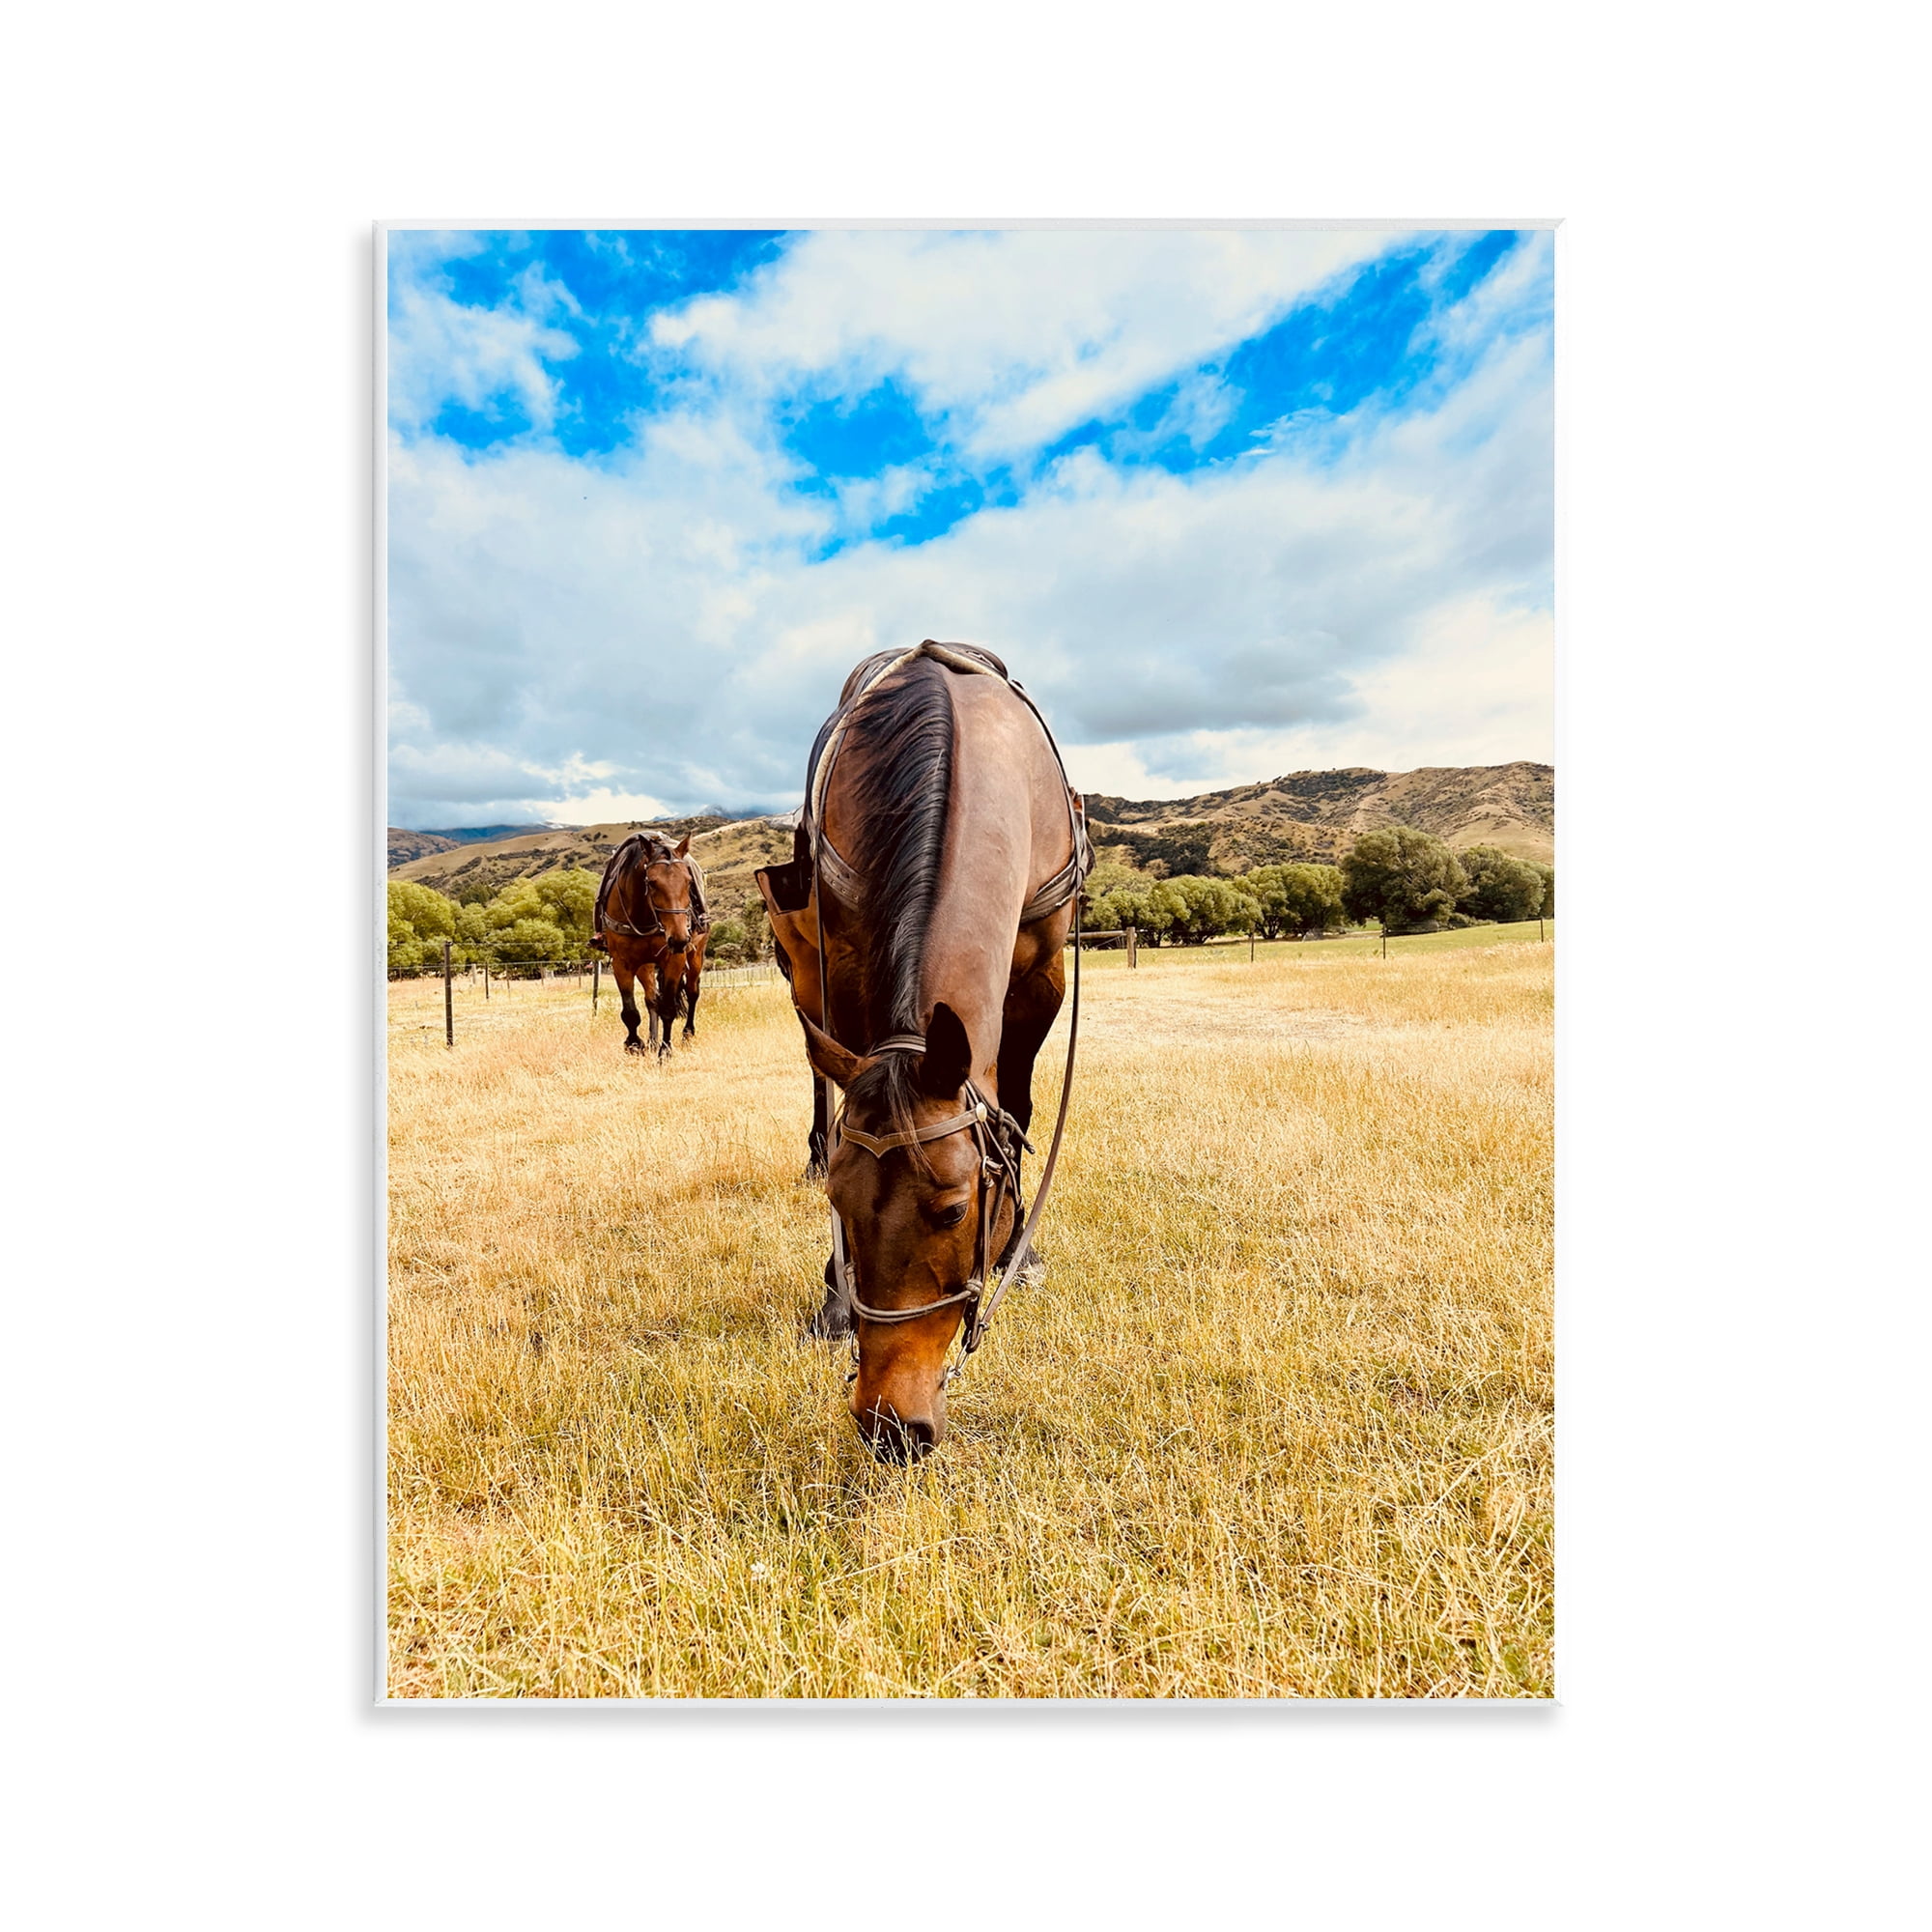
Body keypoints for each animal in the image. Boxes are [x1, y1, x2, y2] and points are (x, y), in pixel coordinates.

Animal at [593, 833, 708, 1058]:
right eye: (652, 883)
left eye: (689, 882)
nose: (679, 938)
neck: (644, 915)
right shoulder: (622, 963)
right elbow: (630, 1012)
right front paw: (635, 1044)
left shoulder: (675, 959)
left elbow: (668, 1008)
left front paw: (665, 1052)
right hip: (645, 965)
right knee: (652, 999)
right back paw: (652, 1040)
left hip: (696, 956)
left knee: (692, 992)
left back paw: (687, 1034)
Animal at [755, 641, 1089, 1460]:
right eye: (840, 1202)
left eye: (956, 1209)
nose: (890, 1426)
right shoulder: (845, 962)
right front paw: (835, 1296)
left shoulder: (1042, 970)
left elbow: (1018, 1105)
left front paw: (1021, 1252)